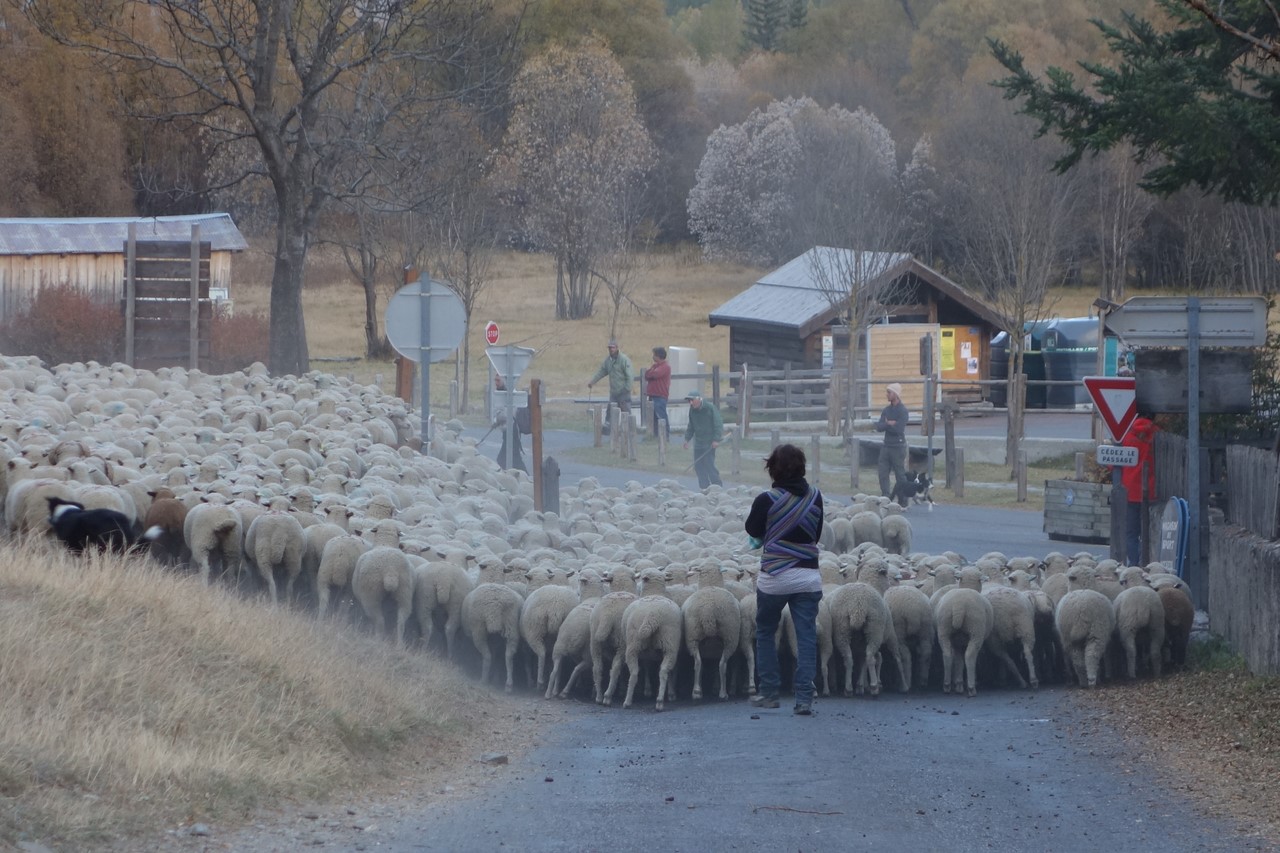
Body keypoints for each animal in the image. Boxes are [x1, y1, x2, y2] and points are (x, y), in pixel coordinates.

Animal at [460, 555, 524, 686]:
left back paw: (483, 679)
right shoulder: (496, 641)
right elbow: (497, 656)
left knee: (487, 656)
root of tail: (496, 605)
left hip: (478, 630)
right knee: (508, 656)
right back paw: (508, 684)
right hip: (512, 628)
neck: (492, 581)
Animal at [680, 558, 742, 696]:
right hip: (730, 636)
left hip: (693, 635)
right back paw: (723, 693)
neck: (710, 585)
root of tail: (709, 609)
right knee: (722, 664)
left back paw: (697, 692)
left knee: (698, 662)